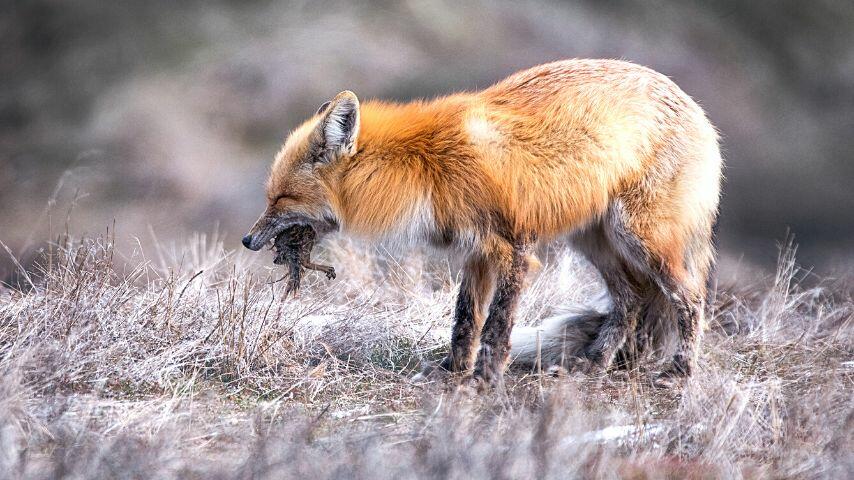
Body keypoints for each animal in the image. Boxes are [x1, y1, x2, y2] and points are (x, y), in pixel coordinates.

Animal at [244, 59, 724, 386]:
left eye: (282, 198)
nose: (248, 240)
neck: (426, 167)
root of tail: (697, 111)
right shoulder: (476, 251)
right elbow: (464, 319)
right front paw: (451, 372)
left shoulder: (512, 250)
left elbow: (496, 326)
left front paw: (485, 379)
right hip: (593, 240)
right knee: (630, 303)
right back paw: (593, 366)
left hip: (641, 239)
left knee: (691, 298)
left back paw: (681, 371)